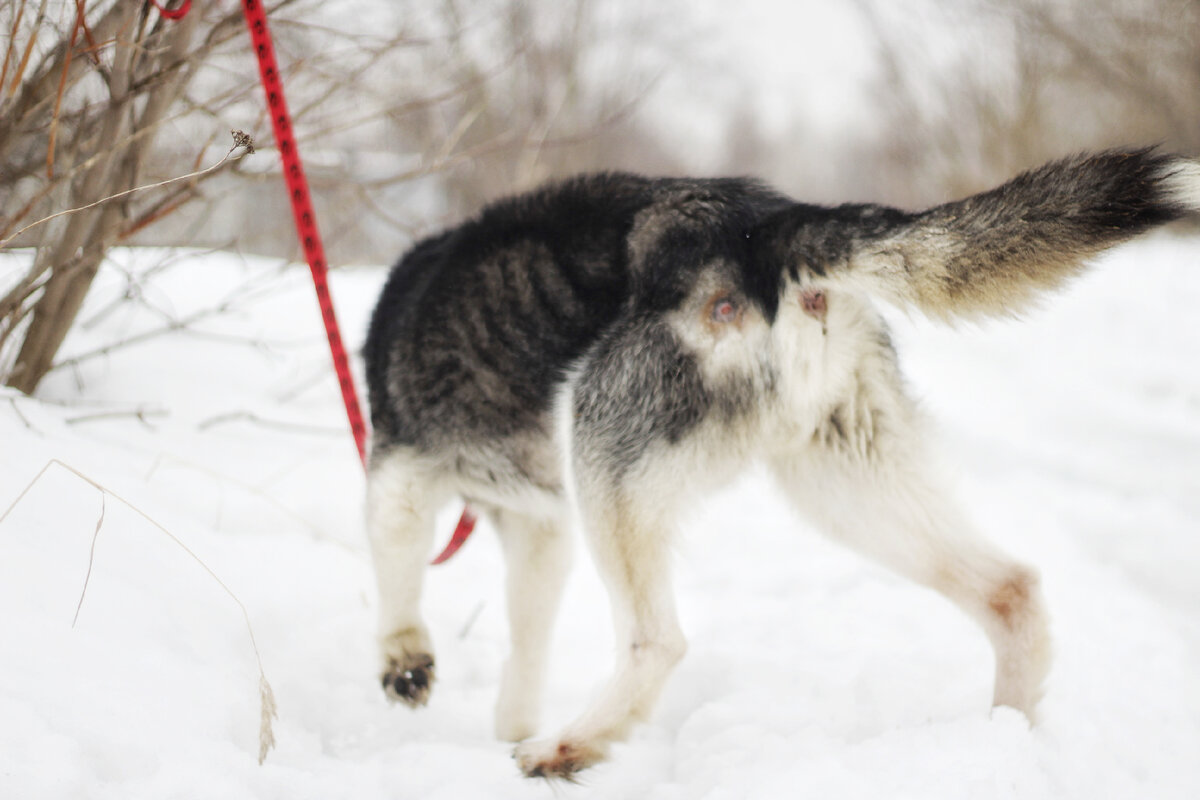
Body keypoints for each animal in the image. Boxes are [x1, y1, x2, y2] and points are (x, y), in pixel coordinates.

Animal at [362, 146, 1200, 777]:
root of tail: (761, 227)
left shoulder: (403, 477)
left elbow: (397, 582)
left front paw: (407, 665)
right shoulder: (540, 530)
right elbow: (525, 638)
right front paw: (505, 718)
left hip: (604, 462)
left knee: (658, 640)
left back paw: (571, 744)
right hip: (845, 487)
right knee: (1010, 591)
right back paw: (1005, 738)